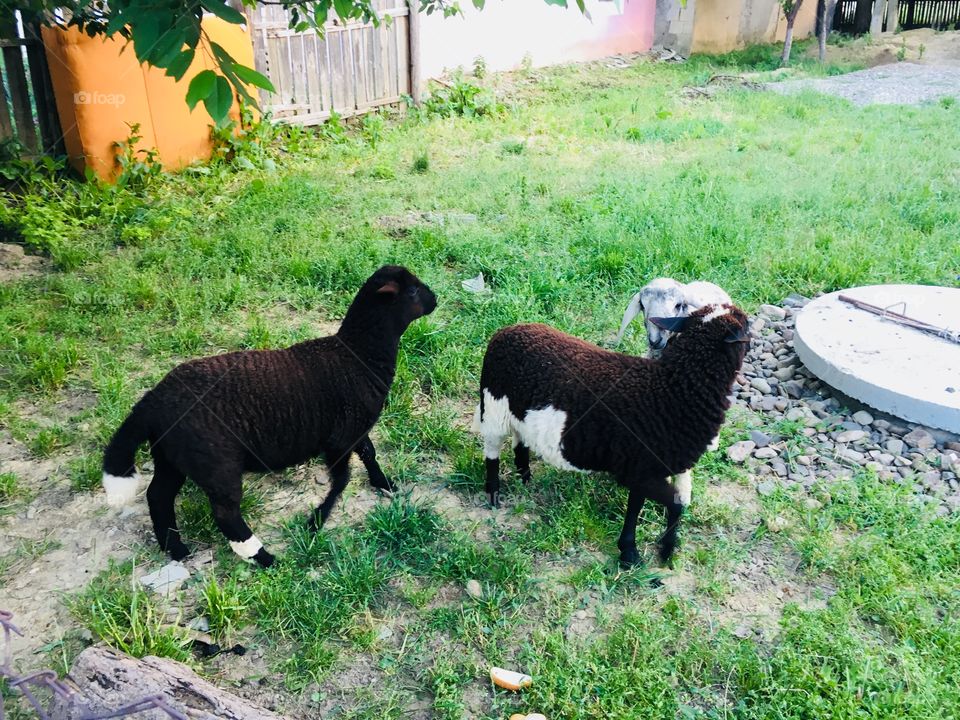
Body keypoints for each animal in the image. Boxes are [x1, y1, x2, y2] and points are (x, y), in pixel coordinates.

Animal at [101, 265, 437, 567]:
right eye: (412, 292)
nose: (435, 298)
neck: (357, 355)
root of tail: (152, 402)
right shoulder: (340, 438)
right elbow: (341, 481)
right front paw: (316, 520)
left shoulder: (357, 426)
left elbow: (369, 453)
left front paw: (384, 483)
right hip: (215, 461)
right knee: (225, 513)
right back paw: (262, 557)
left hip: (172, 455)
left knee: (158, 496)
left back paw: (176, 549)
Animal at [474, 304, 749, 568]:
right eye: (746, 326)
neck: (674, 388)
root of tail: (506, 331)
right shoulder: (640, 470)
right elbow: (674, 505)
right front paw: (657, 552)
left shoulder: (644, 469)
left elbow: (642, 506)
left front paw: (638, 551)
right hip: (494, 407)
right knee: (492, 451)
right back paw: (493, 493)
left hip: (519, 413)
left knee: (520, 441)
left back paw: (525, 477)